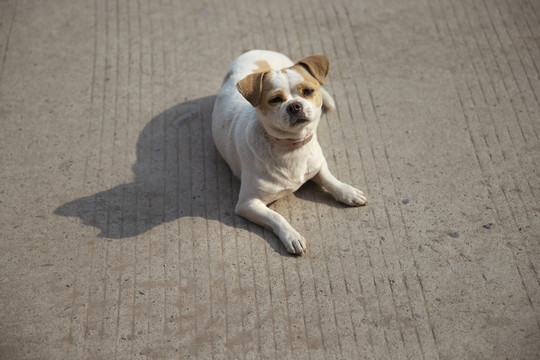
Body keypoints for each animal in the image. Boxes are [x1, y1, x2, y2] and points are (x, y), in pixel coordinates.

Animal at [211, 50, 368, 256]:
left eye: (308, 91)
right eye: (275, 100)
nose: (294, 105)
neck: (292, 147)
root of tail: (258, 51)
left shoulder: (317, 163)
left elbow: (329, 178)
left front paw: (347, 191)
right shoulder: (248, 203)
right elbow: (276, 217)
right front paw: (292, 236)